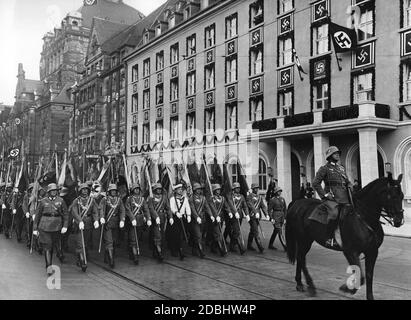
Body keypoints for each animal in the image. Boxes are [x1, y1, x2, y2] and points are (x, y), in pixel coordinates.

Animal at [286, 172, 406, 300]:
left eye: (402, 196)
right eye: (391, 196)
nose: (399, 221)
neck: (364, 218)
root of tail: (297, 202)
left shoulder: (372, 252)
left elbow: (369, 275)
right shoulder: (350, 251)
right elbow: (360, 275)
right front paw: (347, 288)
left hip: (307, 240)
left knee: (300, 258)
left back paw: (299, 283)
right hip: (304, 239)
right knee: (301, 258)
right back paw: (310, 286)